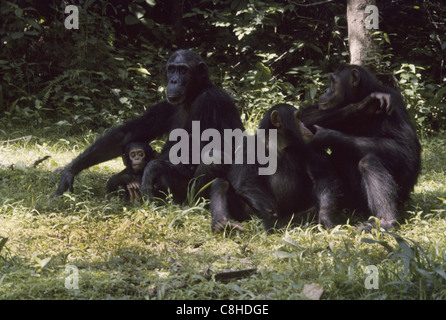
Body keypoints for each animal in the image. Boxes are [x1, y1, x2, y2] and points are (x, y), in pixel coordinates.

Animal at [56, 48, 246, 201]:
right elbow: (128, 133)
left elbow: (204, 145)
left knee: (213, 157)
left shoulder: (210, 101)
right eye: (172, 69)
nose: (174, 81)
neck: (192, 96)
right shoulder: (165, 107)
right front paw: (69, 171)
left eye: (183, 70)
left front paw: (151, 168)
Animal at [211, 104, 316, 232]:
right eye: (297, 118)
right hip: (250, 215)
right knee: (221, 183)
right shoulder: (249, 146)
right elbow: (247, 182)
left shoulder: (306, 149)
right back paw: (221, 224)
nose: (304, 125)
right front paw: (271, 217)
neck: (277, 143)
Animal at [300, 65, 422, 230]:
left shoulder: (395, 104)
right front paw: (364, 105)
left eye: (333, 82)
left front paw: (326, 135)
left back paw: (385, 220)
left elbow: (406, 149)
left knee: (368, 162)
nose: (326, 90)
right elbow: (300, 117)